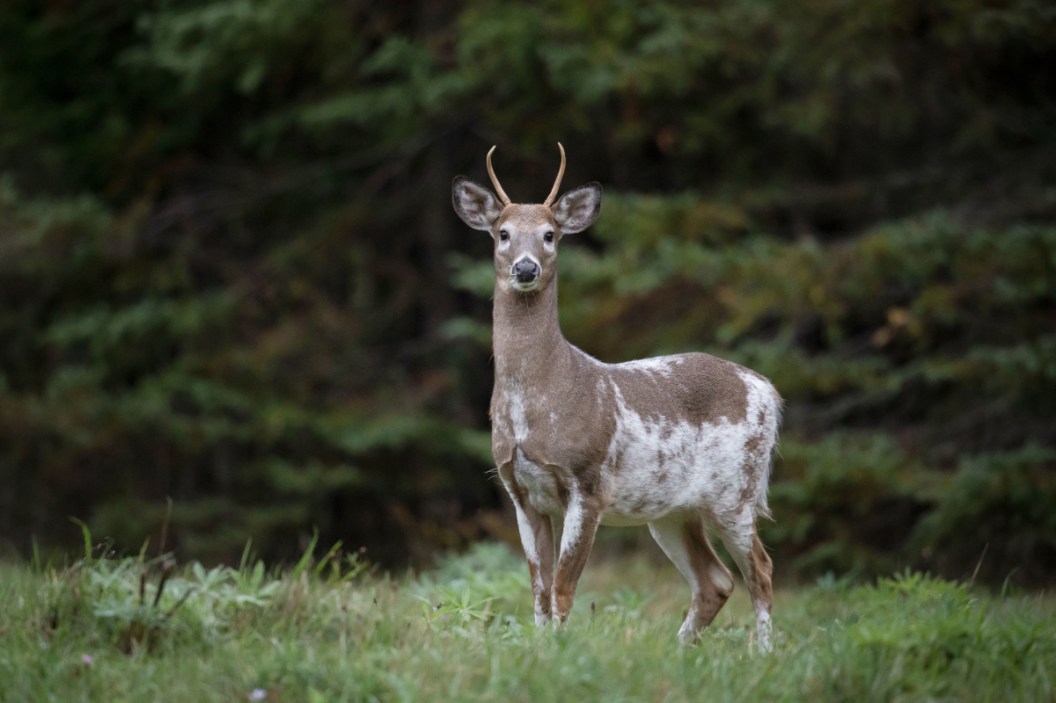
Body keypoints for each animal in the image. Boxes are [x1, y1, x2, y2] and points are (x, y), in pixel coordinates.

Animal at [451, 144, 782, 651]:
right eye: (503, 233)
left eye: (550, 234)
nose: (525, 268)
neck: (538, 402)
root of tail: (767, 388)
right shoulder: (518, 489)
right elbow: (538, 590)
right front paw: (540, 650)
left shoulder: (588, 482)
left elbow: (564, 588)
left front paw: (559, 652)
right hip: (670, 510)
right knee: (716, 580)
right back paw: (679, 652)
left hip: (736, 489)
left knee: (760, 570)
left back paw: (762, 654)